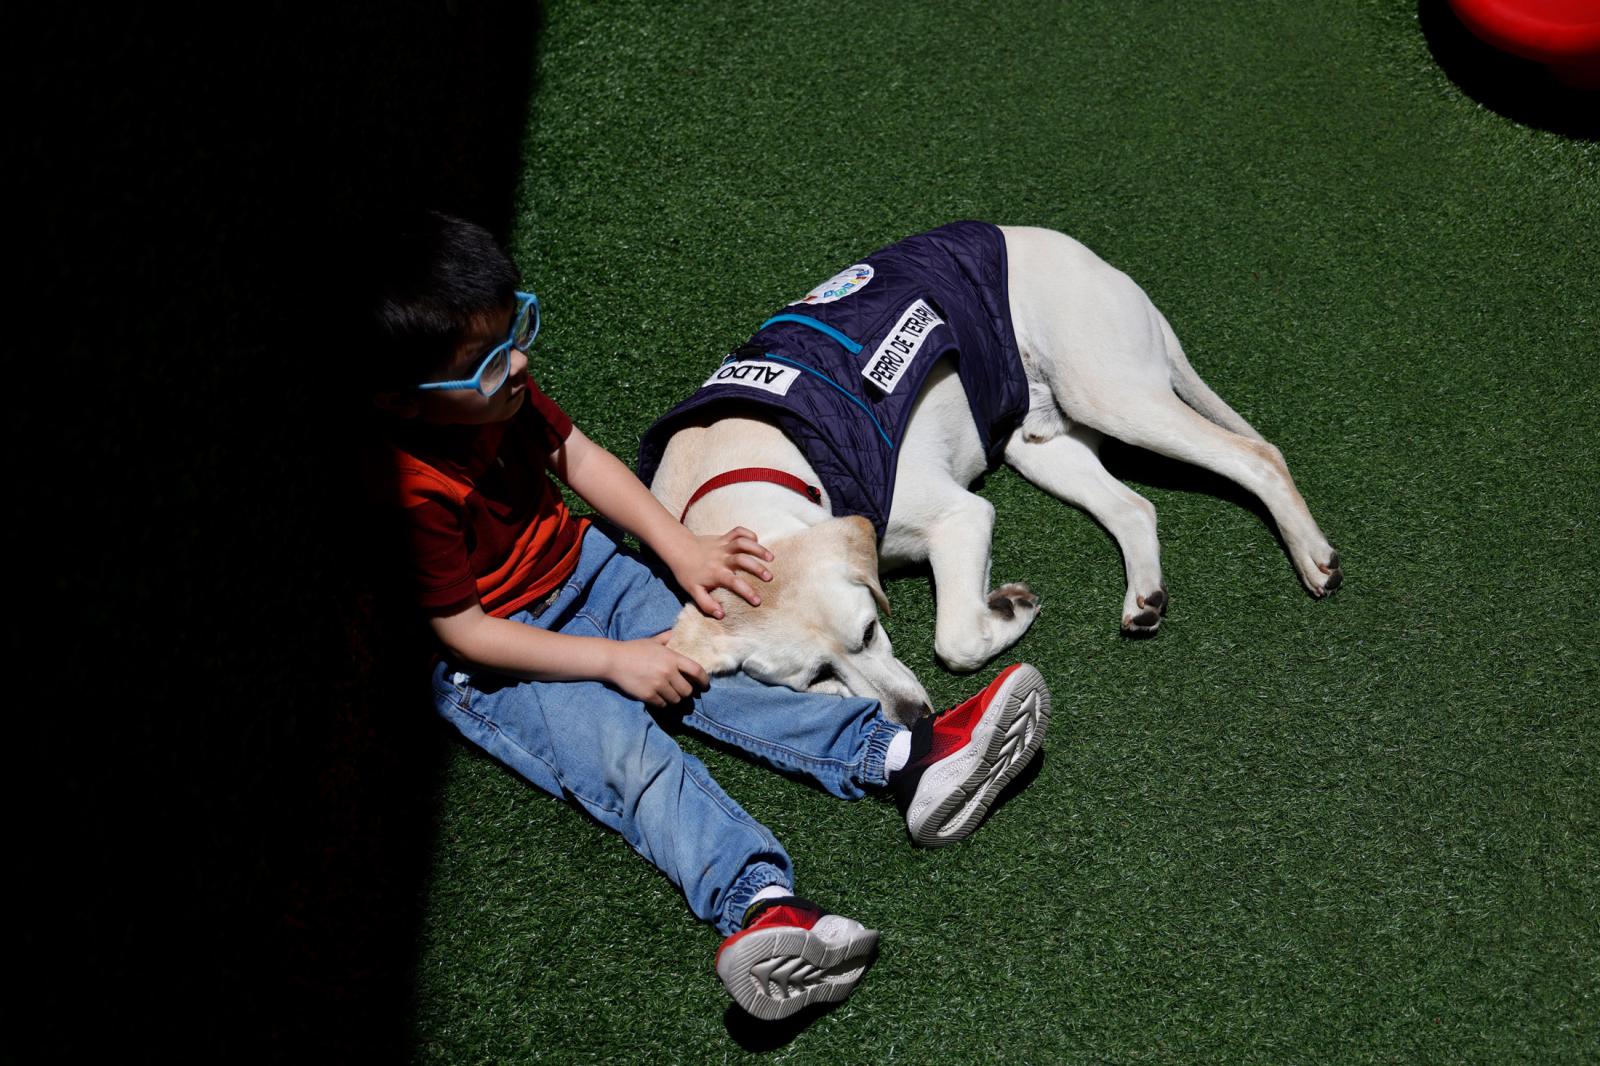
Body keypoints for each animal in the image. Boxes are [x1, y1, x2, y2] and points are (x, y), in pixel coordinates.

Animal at [646, 222, 1337, 713]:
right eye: (814, 677)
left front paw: (1011, 611)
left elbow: (955, 639)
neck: (739, 473)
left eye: (869, 631)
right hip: (1038, 444)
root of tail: (1111, 271)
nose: (916, 719)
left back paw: (1312, 556)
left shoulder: (962, 515)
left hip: (1112, 394)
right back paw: (1144, 598)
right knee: (1135, 506)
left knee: (1257, 455)